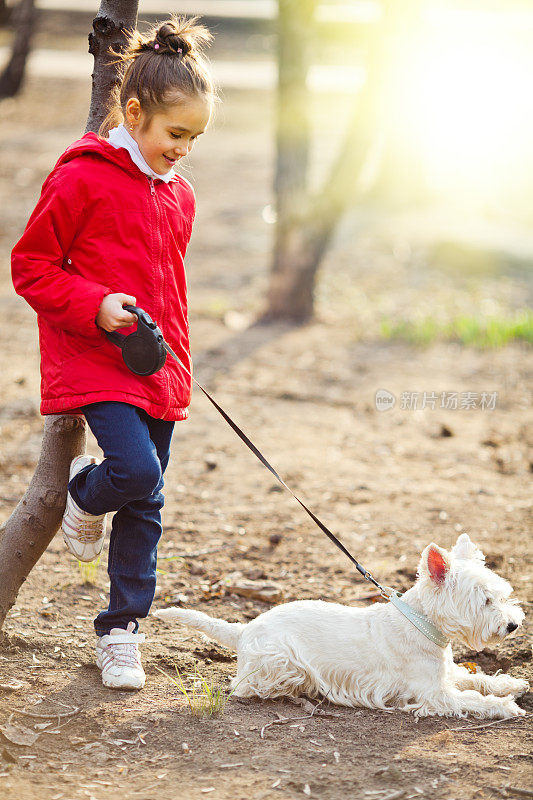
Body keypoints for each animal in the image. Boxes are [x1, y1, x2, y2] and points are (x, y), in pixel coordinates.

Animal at [155, 536, 528, 720]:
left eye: (501, 593)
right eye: (484, 600)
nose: (512, 625)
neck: (421, 624)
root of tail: (245, 631)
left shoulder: (445, 673)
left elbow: (477, 678)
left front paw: (513, 684)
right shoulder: (433, 693)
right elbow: (470, 698)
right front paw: (506, 707)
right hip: (281, 661)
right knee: (247, 687)